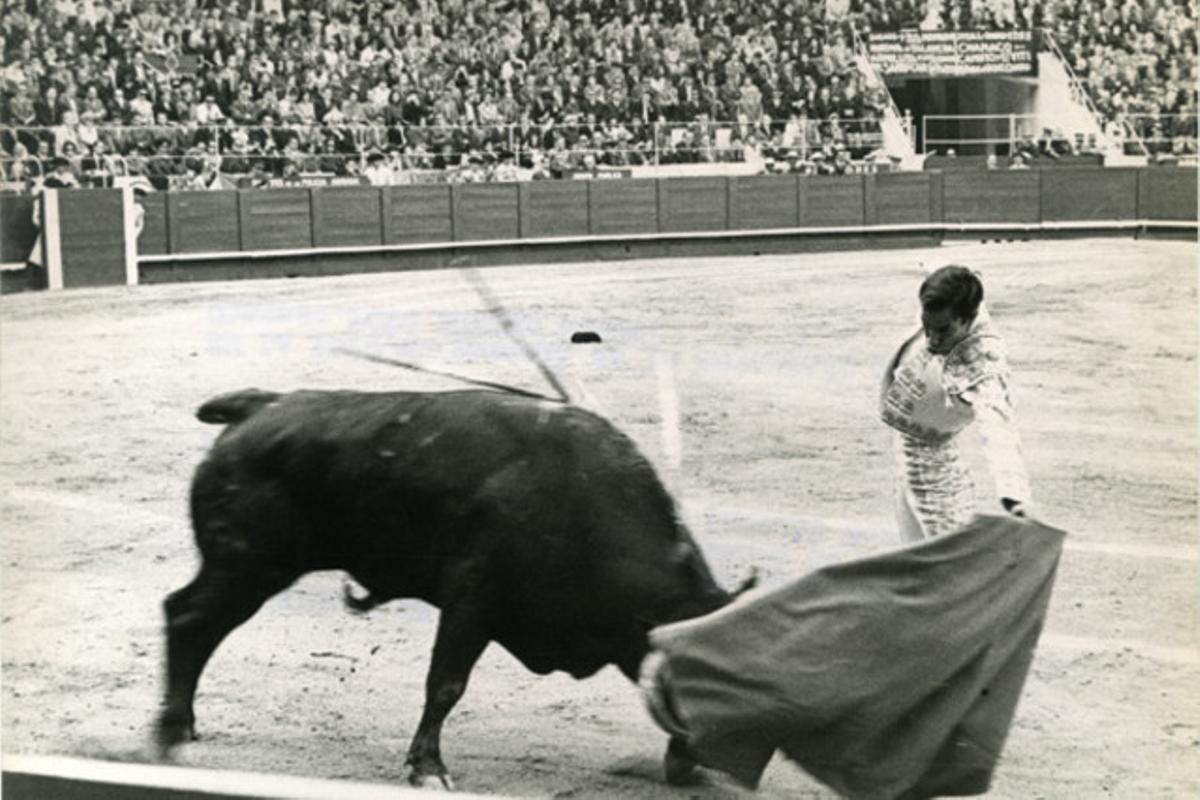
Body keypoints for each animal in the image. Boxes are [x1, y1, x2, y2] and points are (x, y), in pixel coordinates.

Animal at [154, 388, 744, 786]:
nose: (707, 765)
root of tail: (260, 406)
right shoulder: (471, 600)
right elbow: (445, 684)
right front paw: (428, 769)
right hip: (247, 567)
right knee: (188, 618)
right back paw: (171, 734)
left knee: (193, 621)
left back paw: (183, 727)